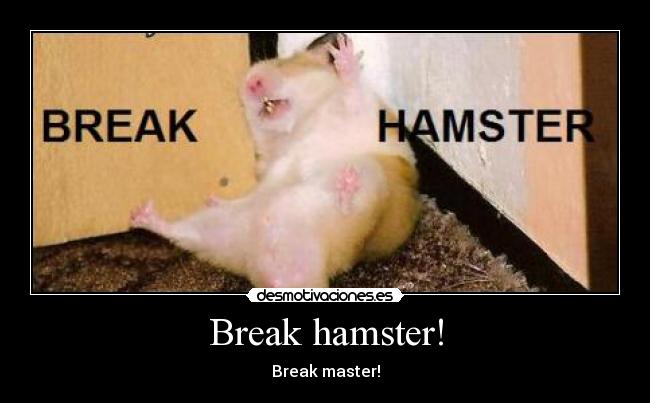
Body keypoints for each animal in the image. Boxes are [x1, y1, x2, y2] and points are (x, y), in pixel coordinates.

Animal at [130, 34, 421, 288]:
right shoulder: (270, 163)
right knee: (183, 232)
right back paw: (144, 215)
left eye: (286, 65)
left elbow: (352, 94)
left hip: (371, 185)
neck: (300, 124)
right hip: (222, 228)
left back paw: (347, 185)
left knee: (350, 206)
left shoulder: (360, 114)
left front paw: (345, 56)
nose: (253, 82)